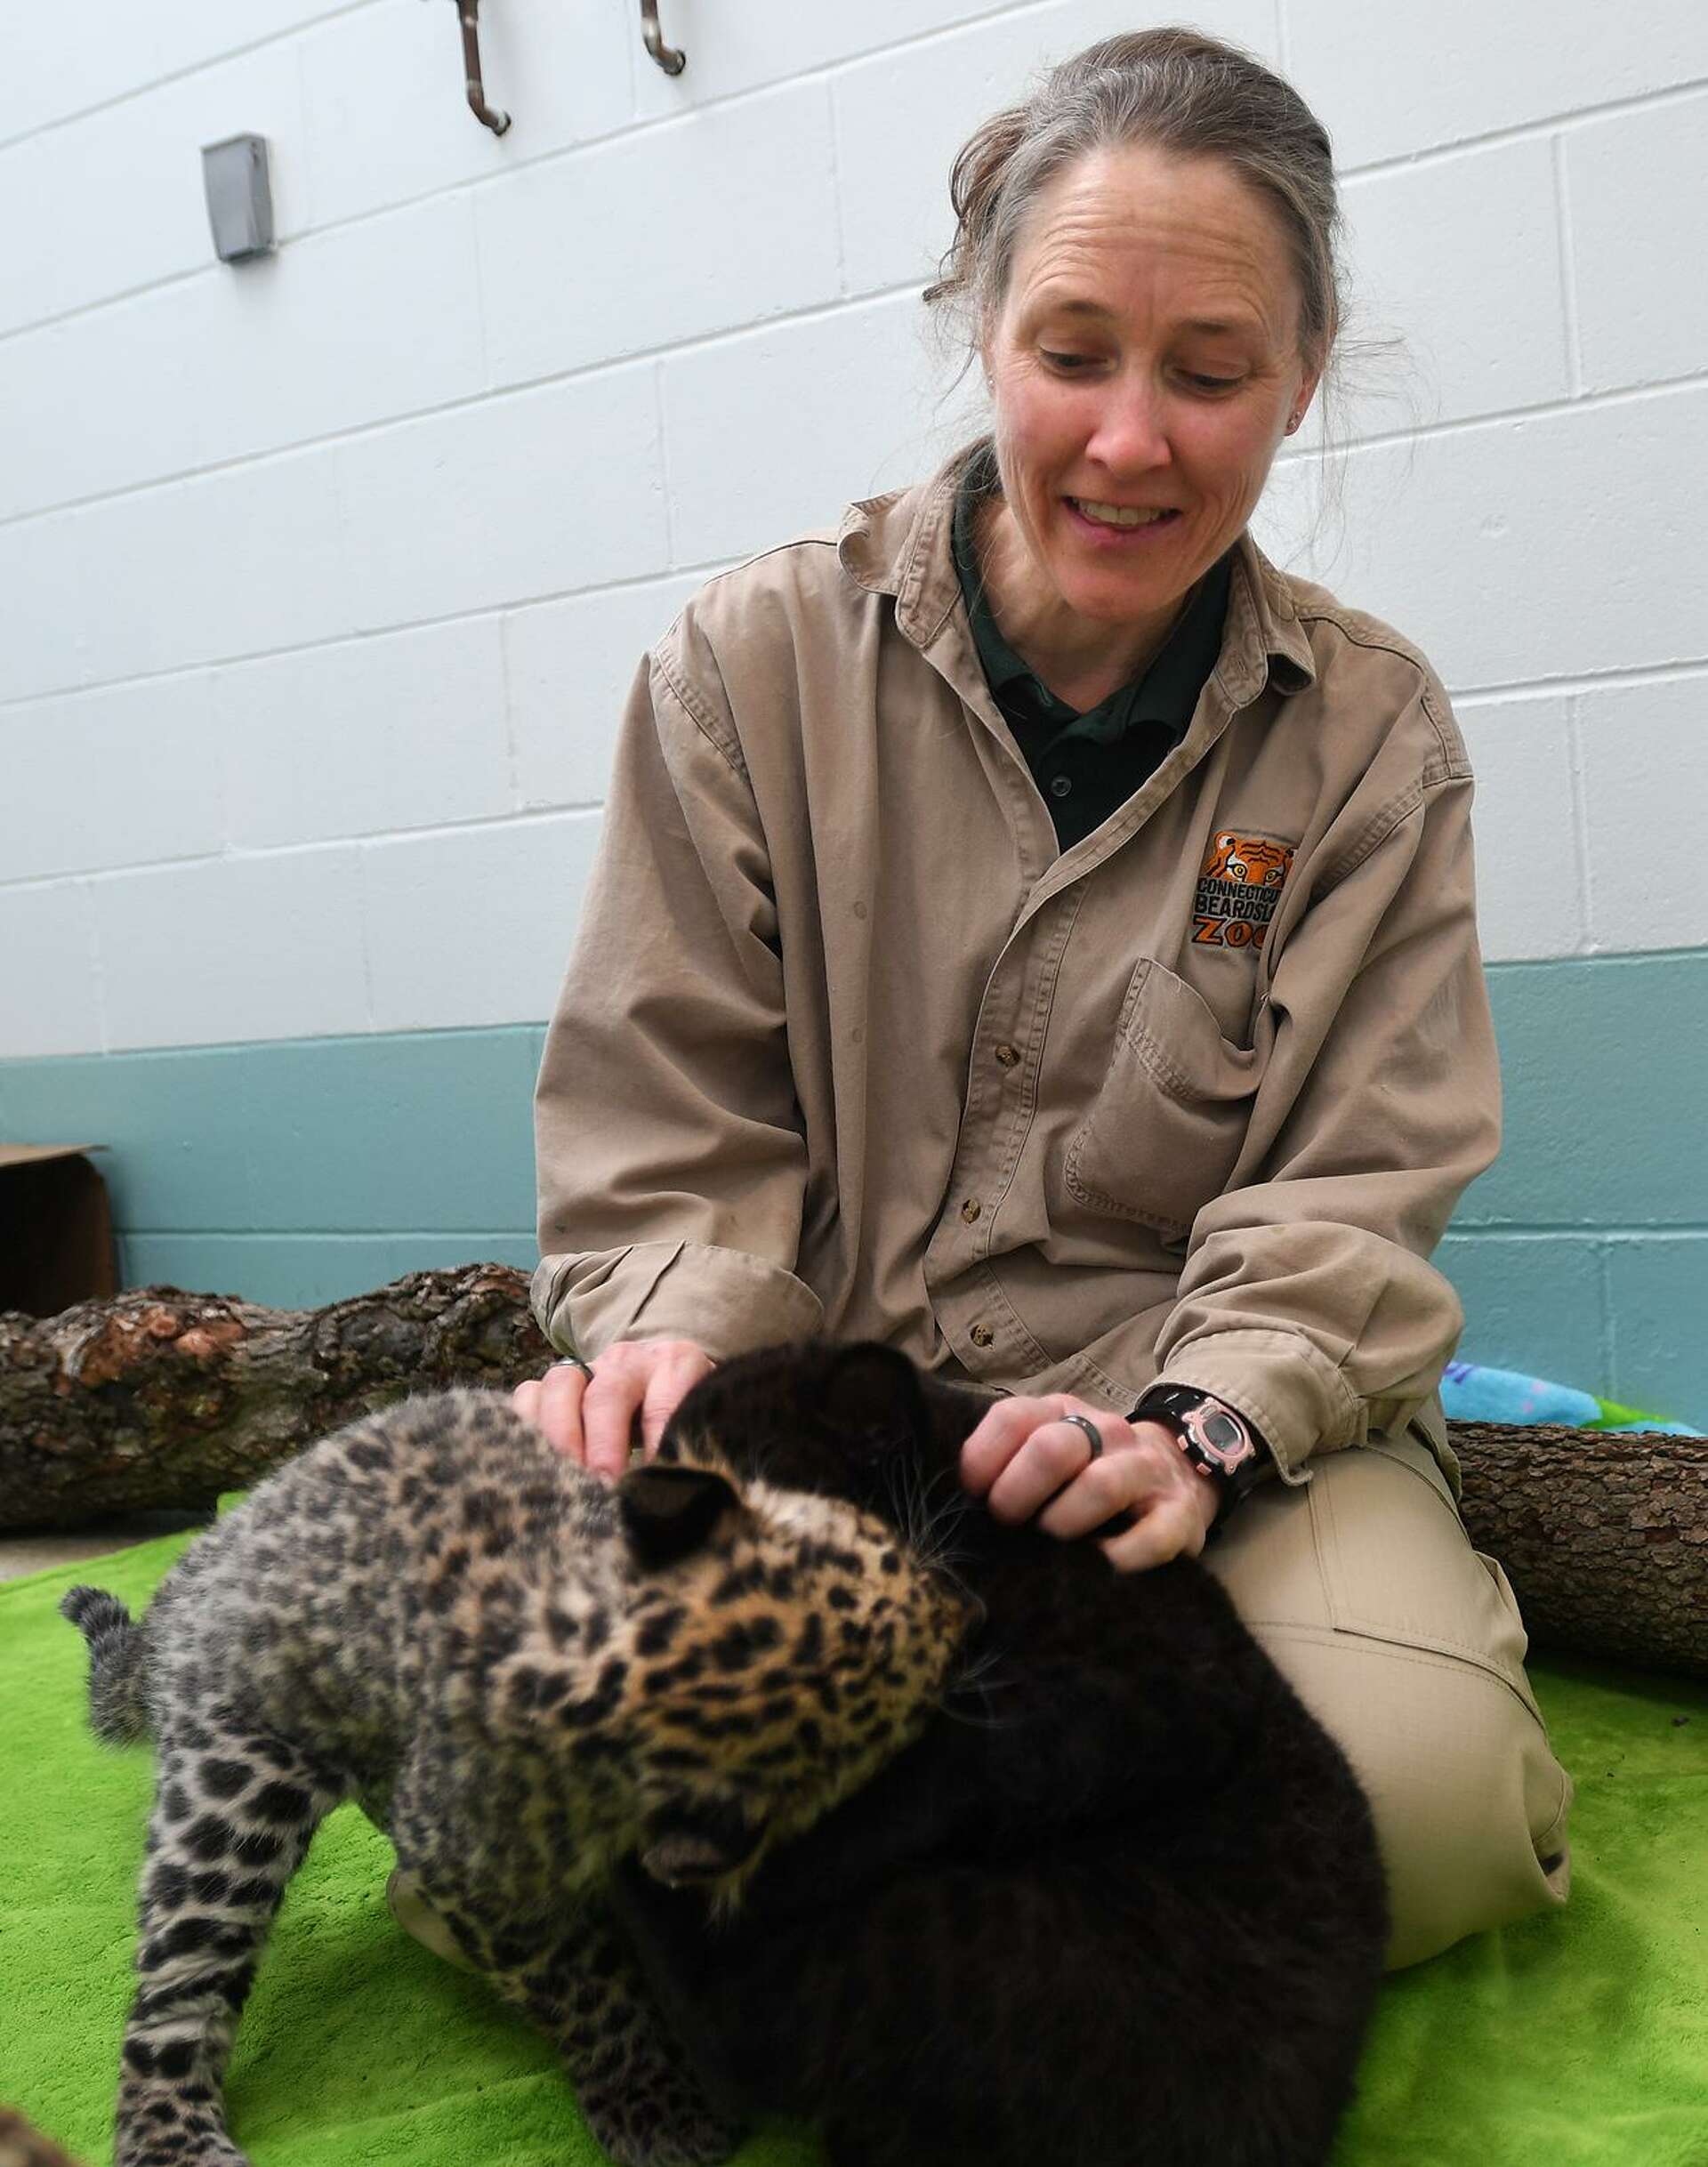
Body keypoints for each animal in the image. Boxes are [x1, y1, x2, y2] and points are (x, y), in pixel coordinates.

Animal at [62, 1381, 978, 2167]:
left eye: (879, 1551)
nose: (962, 1605)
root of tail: (180, 1593)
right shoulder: (483, 1876)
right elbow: (584, 1987)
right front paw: (655, 2103)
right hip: (234, 1782)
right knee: (176, 1988)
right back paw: (171, 2136)